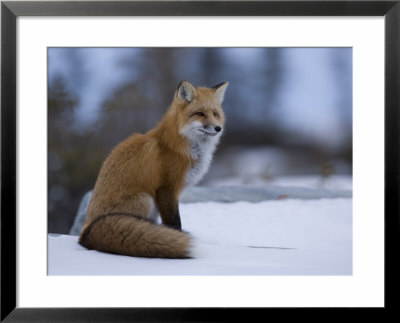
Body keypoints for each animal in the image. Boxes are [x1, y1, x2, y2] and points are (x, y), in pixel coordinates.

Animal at [79, 82, 228, 260]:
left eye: (215, 114)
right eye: (200, 113)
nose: (218, 128)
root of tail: (85, 233)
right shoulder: (167, 188)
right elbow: (174, 222)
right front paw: (177, 238)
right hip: (145, 199)